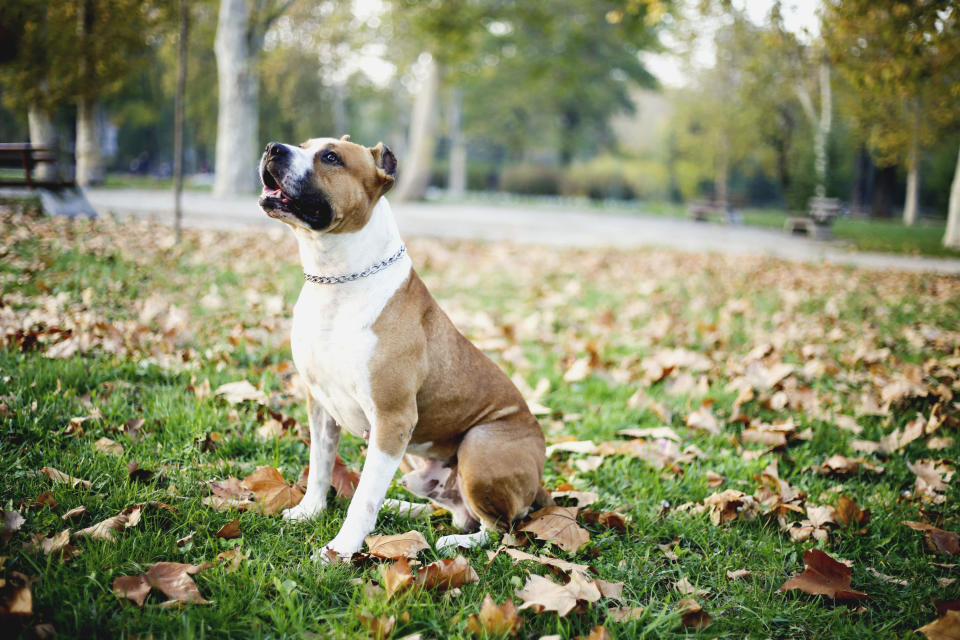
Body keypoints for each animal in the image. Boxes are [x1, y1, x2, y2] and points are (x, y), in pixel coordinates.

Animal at [256, 135, 548, 560]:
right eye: (304, 144)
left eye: (331, 157)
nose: (273, 148)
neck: (337, 280)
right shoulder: (320, 404)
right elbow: (321, 466)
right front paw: (310, 511)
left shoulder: (392, 419)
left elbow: (364, 499)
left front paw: (341, 549)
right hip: (415, 462)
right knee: (454, 511)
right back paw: (402, 507)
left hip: (478, 446)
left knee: (499, 527)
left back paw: (457, 542)